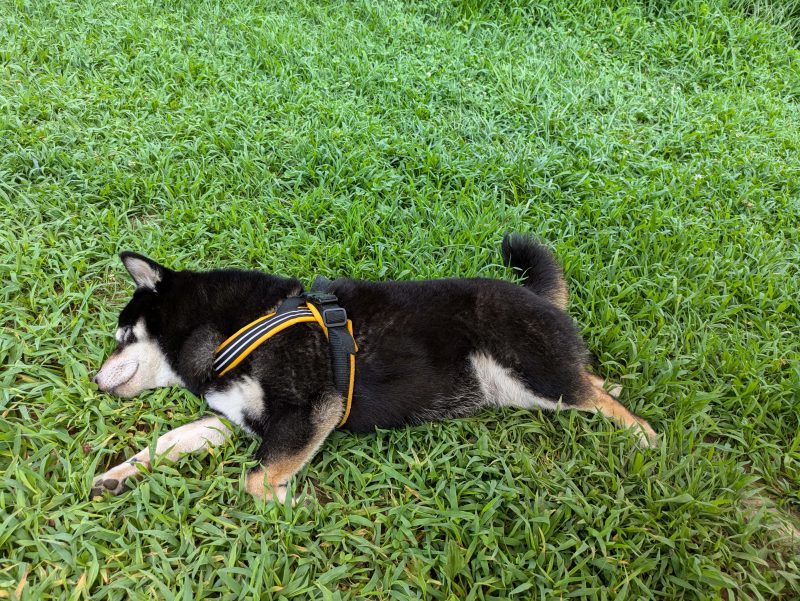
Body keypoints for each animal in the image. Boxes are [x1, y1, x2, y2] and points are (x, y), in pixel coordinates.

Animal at [94, 234, 656, 502]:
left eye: (121, 338)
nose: (96, 381)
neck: (228, 328)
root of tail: (535, 295)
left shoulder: (308, 413)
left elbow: (254, 479)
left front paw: (291, 506)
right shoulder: (237, 420)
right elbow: (171, 440)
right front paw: (117, 476)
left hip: (530, 372)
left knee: (595, 396)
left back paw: (644, 437)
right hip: (524, 385)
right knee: (591, 380)